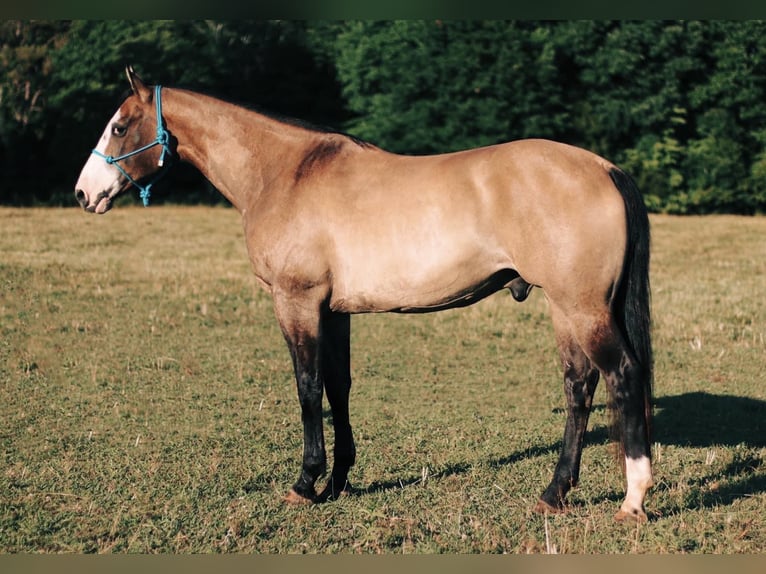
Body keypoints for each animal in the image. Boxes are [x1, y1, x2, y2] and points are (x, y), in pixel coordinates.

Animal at [76, 66, 656, 520]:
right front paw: (337, 481)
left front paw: (305, 483)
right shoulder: (333, 311)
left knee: (622, 375)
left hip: (580, 308)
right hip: (567, 309)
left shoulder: (297, 302)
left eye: (119, 126)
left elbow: (308, 387)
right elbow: (338, 387)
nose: (84, 194)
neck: (285, 173)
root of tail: (603, 168)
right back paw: (555, 493)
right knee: (579, 386)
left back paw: (633, 499)